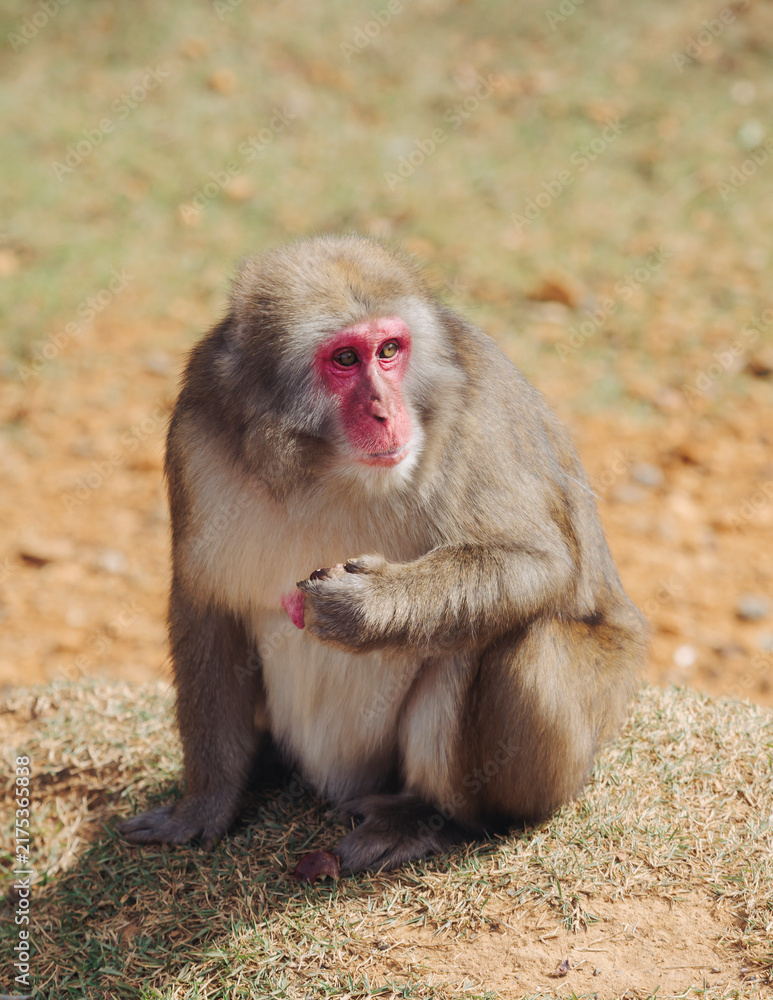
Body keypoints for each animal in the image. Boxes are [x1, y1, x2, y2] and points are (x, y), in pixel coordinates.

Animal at [119, 233, 647, 873]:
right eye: (346, 359)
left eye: (390, 350)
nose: (386, 412)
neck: (324, 467)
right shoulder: (196, 432)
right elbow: (207, 606)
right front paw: (205, 805)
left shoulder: (478, 409)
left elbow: (538, 563)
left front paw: (367, 607)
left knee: (516, 638)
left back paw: (431, 817)